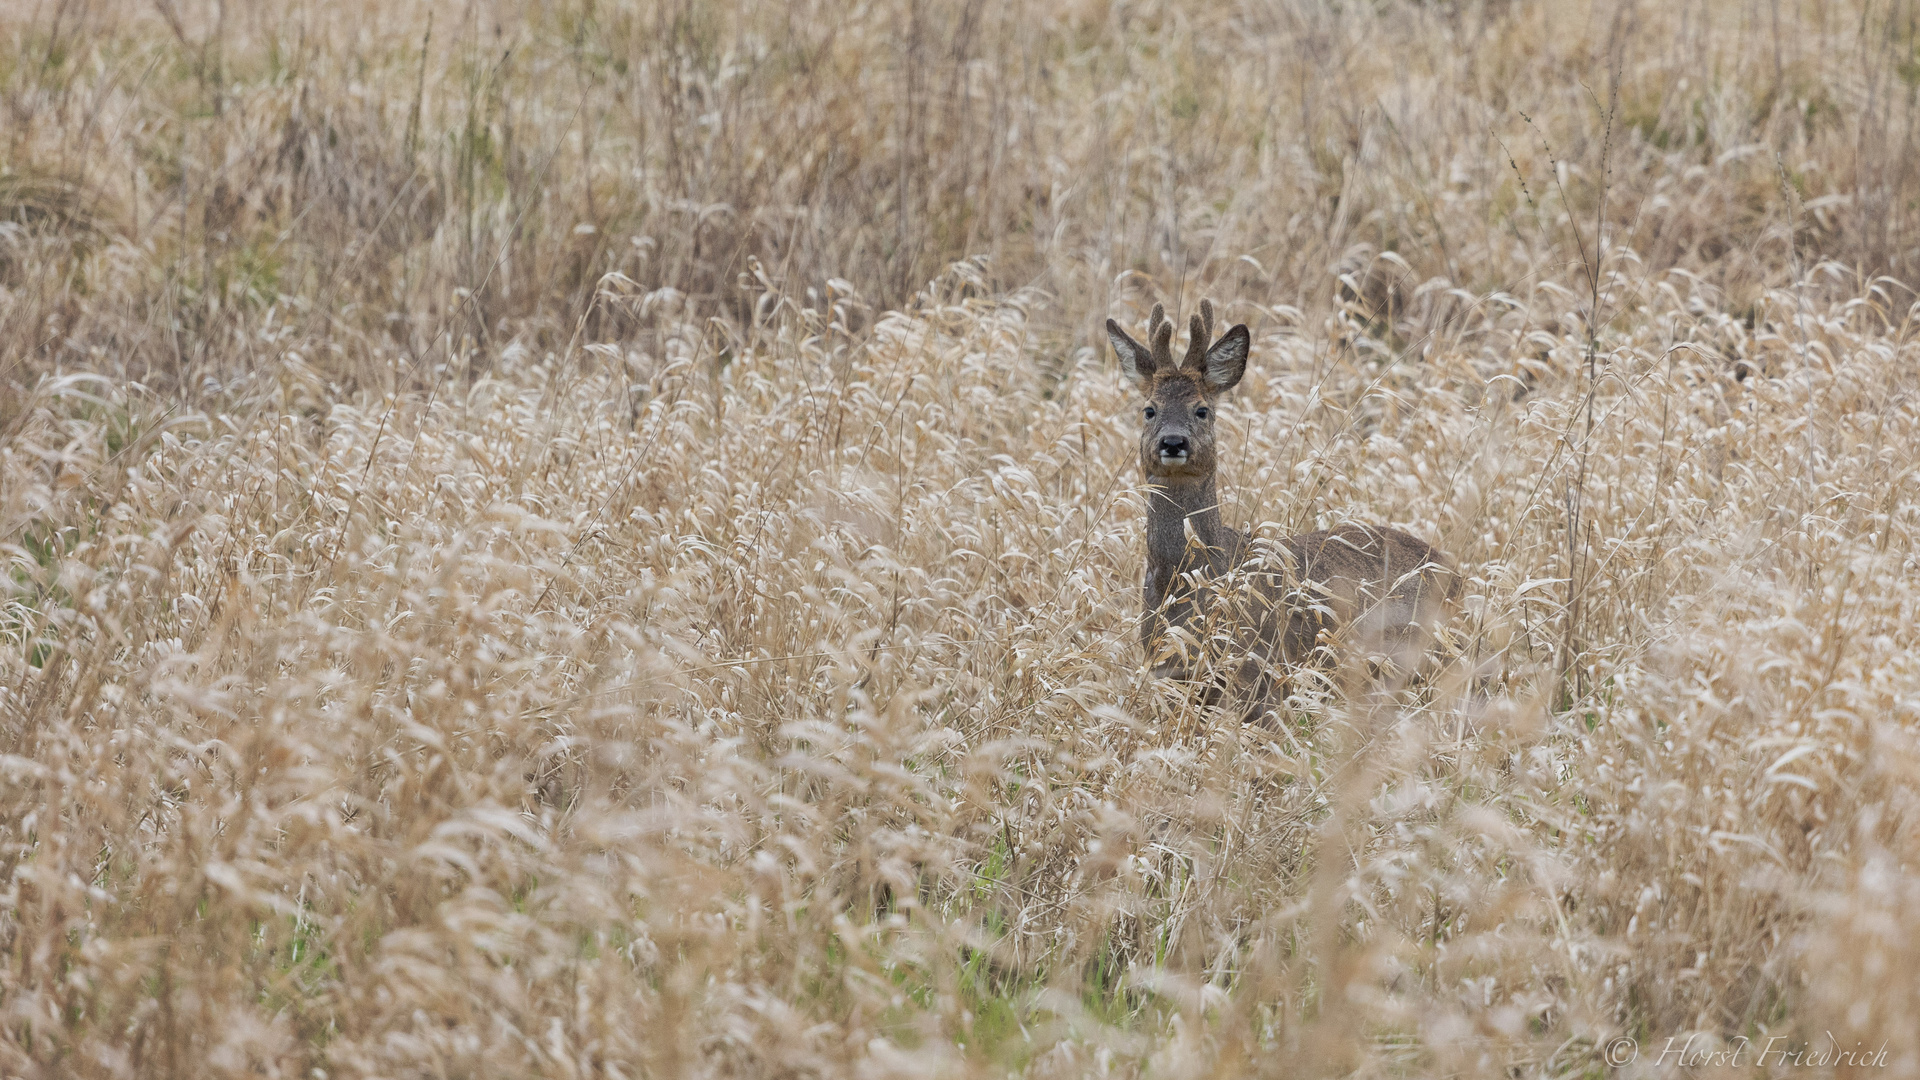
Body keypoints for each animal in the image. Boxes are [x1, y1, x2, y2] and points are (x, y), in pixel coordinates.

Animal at [1105, 297, 1459, 714]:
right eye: (1149, 409)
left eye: (1202, 409)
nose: (1173, 442)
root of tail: (1456, 574)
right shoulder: (1167, 668)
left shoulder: (1260, 672)